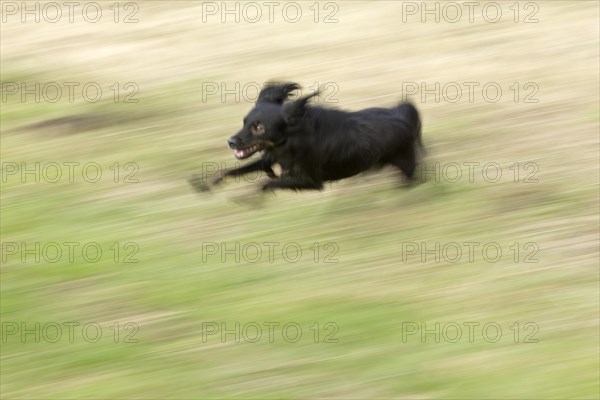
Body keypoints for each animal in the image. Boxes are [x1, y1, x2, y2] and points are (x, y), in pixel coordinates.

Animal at [195, 82, 424, 192]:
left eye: (259, 127)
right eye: (244, 122)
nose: (231, 141)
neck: (292, 138)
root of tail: (403, 115)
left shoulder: (311, 181)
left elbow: (266, 184)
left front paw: (248, 198)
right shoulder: (271, 159)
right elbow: (230, 171)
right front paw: (204, 185)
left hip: (406, 163)